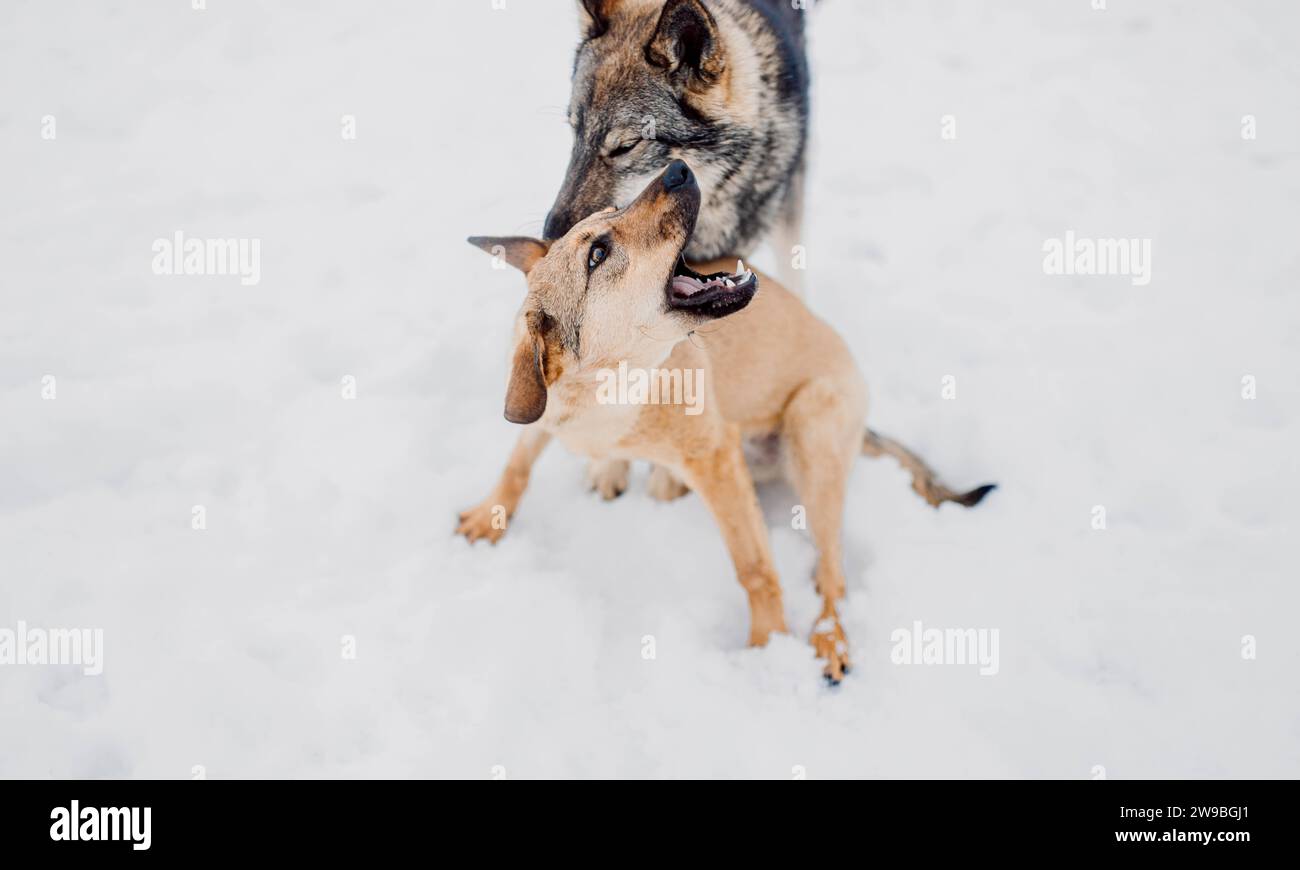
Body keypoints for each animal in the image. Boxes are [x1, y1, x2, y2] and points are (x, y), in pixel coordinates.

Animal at [460, 159, 993, 681]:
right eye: (597, 253)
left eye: (612, 213)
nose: (677, 168)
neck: (609, 389)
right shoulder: (543, 416)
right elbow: (518, 464)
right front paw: (491, 517)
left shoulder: (716, 460)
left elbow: (754, 566)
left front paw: (769, 643)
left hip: (811, 430)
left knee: (831, 574)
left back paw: (829, 637)